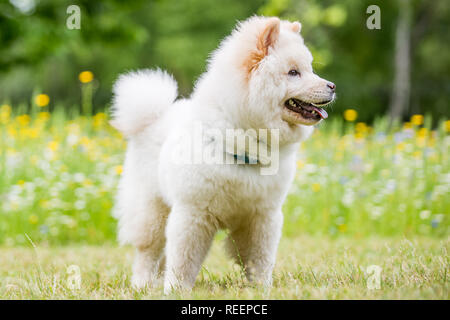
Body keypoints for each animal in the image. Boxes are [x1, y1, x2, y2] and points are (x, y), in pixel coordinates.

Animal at [110, 16, 334, 294]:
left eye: (310, 69)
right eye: (294, 72)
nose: (332, 86)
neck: (244, 143)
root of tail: (155, 117)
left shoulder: (262, 216)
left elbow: (260, 258)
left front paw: (262, 287)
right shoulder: (193, 213)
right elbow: (183, 260)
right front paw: (176, 289)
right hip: (152, 211)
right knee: (148, 252)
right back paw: (143, 284)